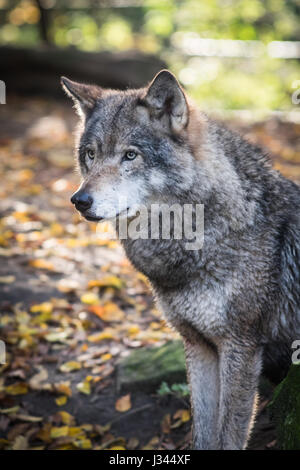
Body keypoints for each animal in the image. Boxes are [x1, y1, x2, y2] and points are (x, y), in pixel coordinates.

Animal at [61, 70, 300, 452]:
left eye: (130, 155)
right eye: (90, 155)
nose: (80, 200)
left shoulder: (241, 348)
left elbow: (228, 435)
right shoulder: (198, 345)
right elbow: (202, 432)